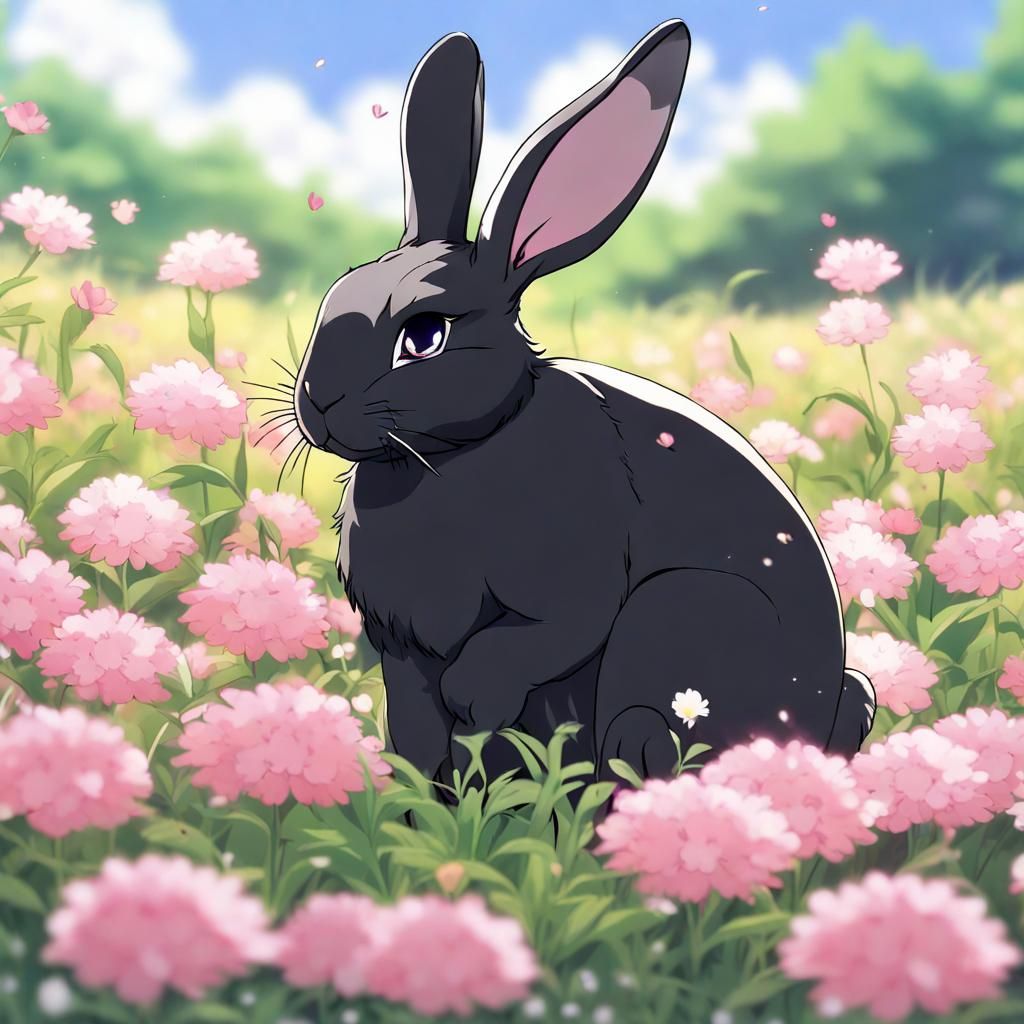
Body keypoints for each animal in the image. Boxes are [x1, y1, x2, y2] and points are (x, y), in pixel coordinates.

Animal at [293, 19, 876, 788]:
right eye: (334, 296)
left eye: (423, 337)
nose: (317, 404)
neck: (449, 454)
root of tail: (813, 725)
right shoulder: (404, 654)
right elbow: (418, 733)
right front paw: (424, 798)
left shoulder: (571, 577)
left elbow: (548, 634)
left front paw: (475, 704)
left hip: (678, 620)